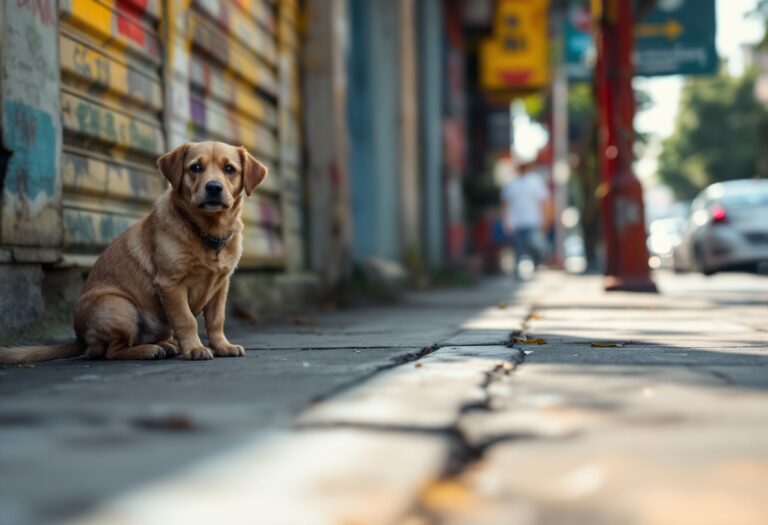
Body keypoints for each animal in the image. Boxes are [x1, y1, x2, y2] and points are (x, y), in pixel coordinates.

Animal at [0, 141, 268, 362]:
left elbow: (216, 320)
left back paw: (167, 345)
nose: (214, 187)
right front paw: (194, 348)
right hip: (119, 307)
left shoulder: (221, 285)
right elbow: (187, 320)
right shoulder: (170, 284)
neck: (207, 233)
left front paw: (222, 345)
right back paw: (149, 350)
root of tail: (78, 338)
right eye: (195, 168)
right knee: (109, 352)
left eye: (230, 169)